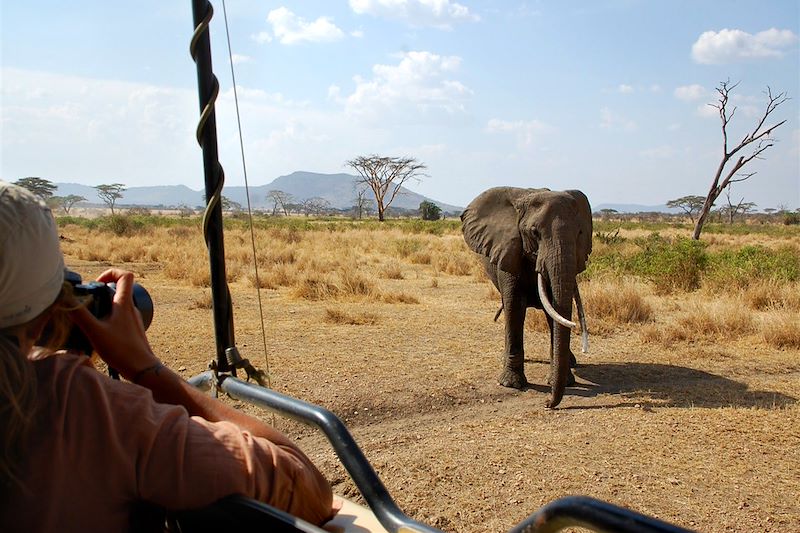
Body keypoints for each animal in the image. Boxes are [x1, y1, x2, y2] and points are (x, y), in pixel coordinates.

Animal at [460, 186, 592, 408]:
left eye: (580, 233)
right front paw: (511, 384)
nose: (547, 403)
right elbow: (514, 307)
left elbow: (554, 310)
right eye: (534, 233)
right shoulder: (508, 251)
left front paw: (564, 381)